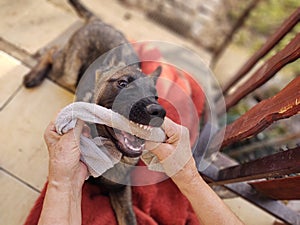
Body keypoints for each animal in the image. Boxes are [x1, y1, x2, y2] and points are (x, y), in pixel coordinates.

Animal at [24, 0, 166, 224]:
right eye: (122, 83)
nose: (158, 111)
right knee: (53, 51)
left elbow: (129, 218)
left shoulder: (121, 190)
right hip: (68, 72)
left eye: (155, 97)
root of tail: (101, 22)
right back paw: (35, 74)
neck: (110, 151)